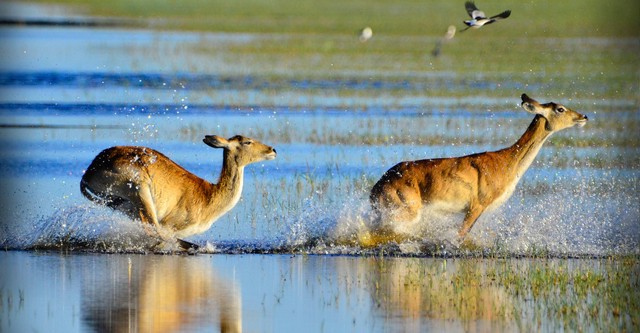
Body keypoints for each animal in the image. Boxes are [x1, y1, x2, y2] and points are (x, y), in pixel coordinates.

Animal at [80, 134, 276, 248]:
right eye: (247, 141)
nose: (272, 150)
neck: (210, 196)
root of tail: (90, 171)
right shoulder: (170, 225)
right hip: (140, 190)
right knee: (154, 232)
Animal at [370, 93, 592, 244]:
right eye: (560, 109)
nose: (583, 116)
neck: (506, 162)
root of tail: (377, 186)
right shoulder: (476, 206)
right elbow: (460, 235)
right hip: (405, 211)